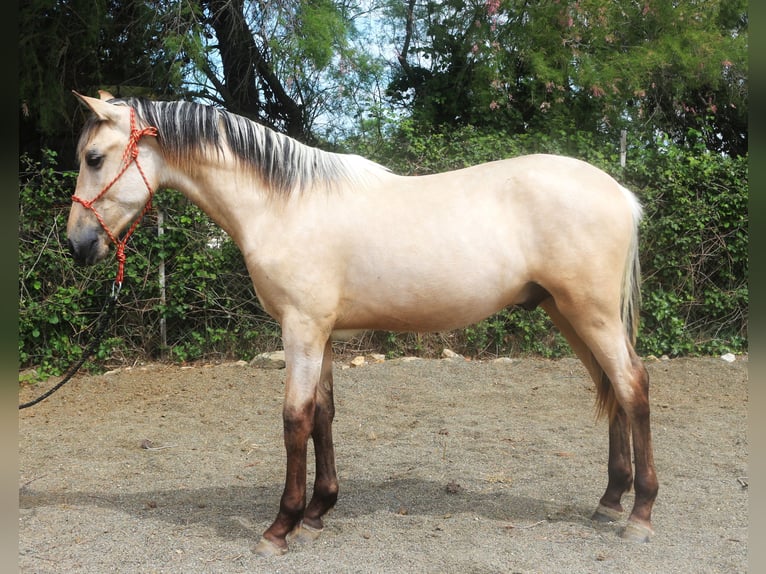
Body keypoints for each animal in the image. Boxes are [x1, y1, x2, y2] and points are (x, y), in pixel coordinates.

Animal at [67, 91, 660, 560]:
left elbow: (295, 420)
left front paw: (280, 527)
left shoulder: (301, 330)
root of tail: (622, 194)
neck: (284, 204)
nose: (77, 244)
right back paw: (610, 501)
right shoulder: (322, 335)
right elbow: (324, 415)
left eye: (95, 158)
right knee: (611, 389)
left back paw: (640, 515)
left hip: (591, 314)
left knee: (632, 387)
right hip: (568, 313)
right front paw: (316, 515)